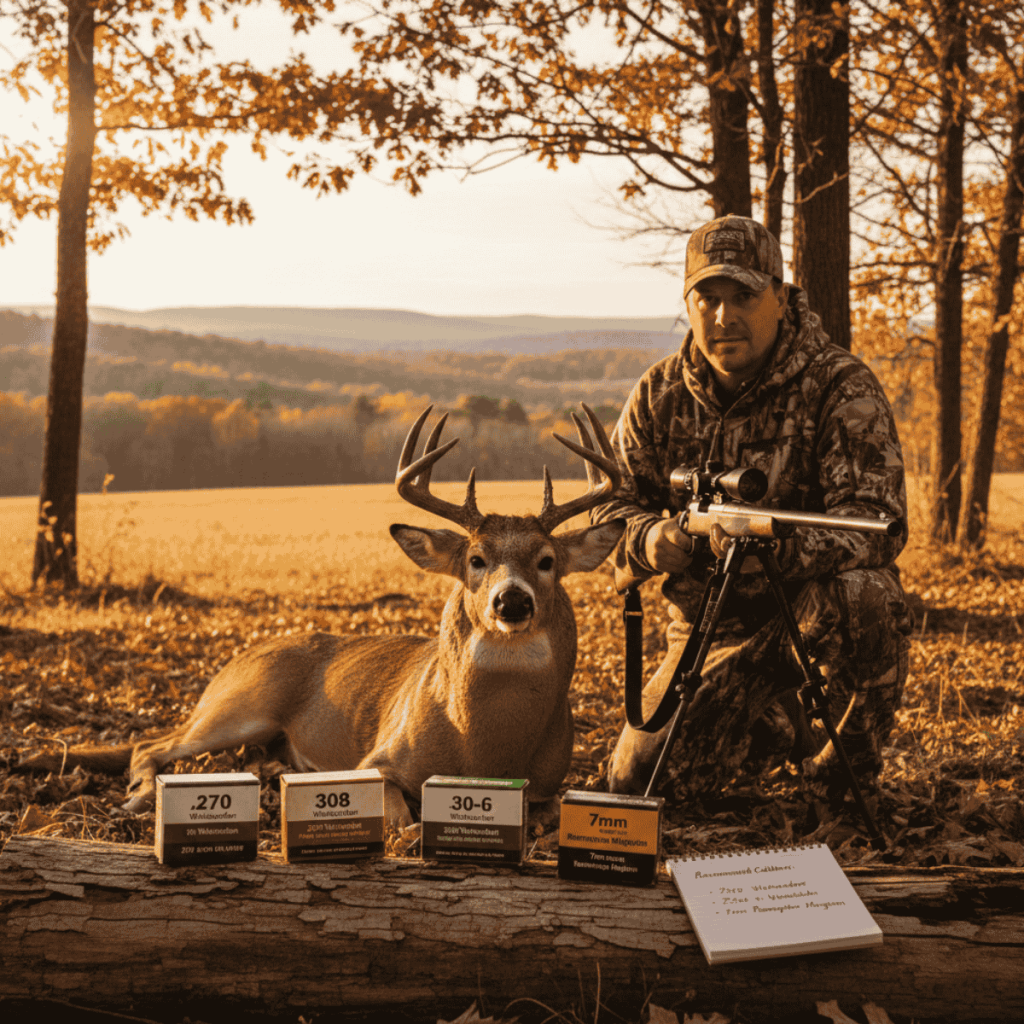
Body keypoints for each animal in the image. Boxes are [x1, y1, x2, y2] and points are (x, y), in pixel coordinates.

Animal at [20, 405, 626, 829]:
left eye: (547, 561)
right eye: (475, 560)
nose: (512, 601)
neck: (487, 748)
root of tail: (243, 653)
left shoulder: (550, 785)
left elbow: (550, 815)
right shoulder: (373, 759)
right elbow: (401, 820)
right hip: (239, 702)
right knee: (152, 744)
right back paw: (139, 798)